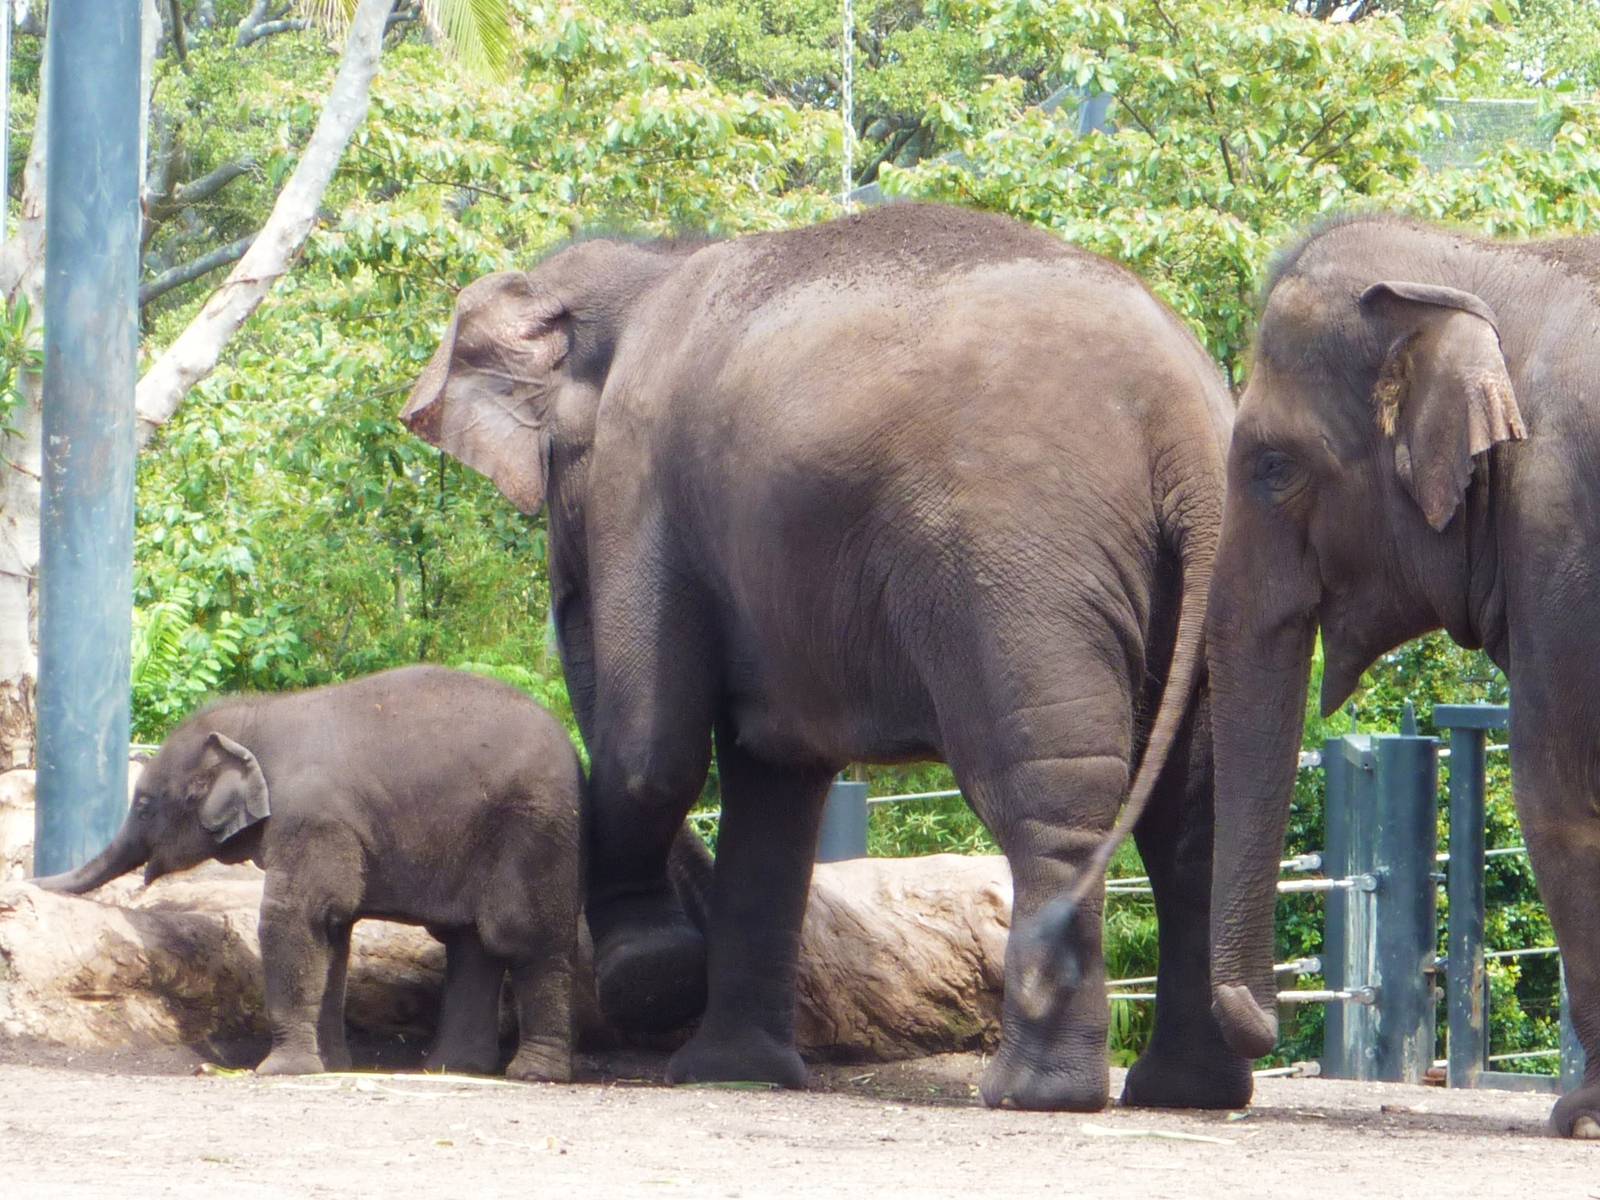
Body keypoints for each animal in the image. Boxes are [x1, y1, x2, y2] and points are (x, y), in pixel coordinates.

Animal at [33, 665, 582, 1082]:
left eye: (145, 805)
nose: (26, 883)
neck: (258, 717)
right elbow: (332, 934)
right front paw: (330, 1067)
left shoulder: (312, 819)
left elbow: (295, 917)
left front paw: (279, 1071)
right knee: (470, 944)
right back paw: (453, 1070)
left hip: (539, 828)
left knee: (522, 935)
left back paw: (532, 1074)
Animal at [400, 202, 1247, 1111]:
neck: (652, 263)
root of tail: (1183, 418)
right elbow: (773, 775)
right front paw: (731, 1073)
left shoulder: (639, 476)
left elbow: (648, 753)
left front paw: (655, 983)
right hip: (1197, 575)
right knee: (1195, 811)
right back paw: (1183, 1092)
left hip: (1020, 568)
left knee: (1048, 787)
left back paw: (1031, 1093)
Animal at [1203, 212, 1600, 1137]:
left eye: (1274, 467)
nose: (1258, 1025)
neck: (1490, 264)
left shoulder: (1559, 527)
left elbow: (1558, 797)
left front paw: (1583, 1118)